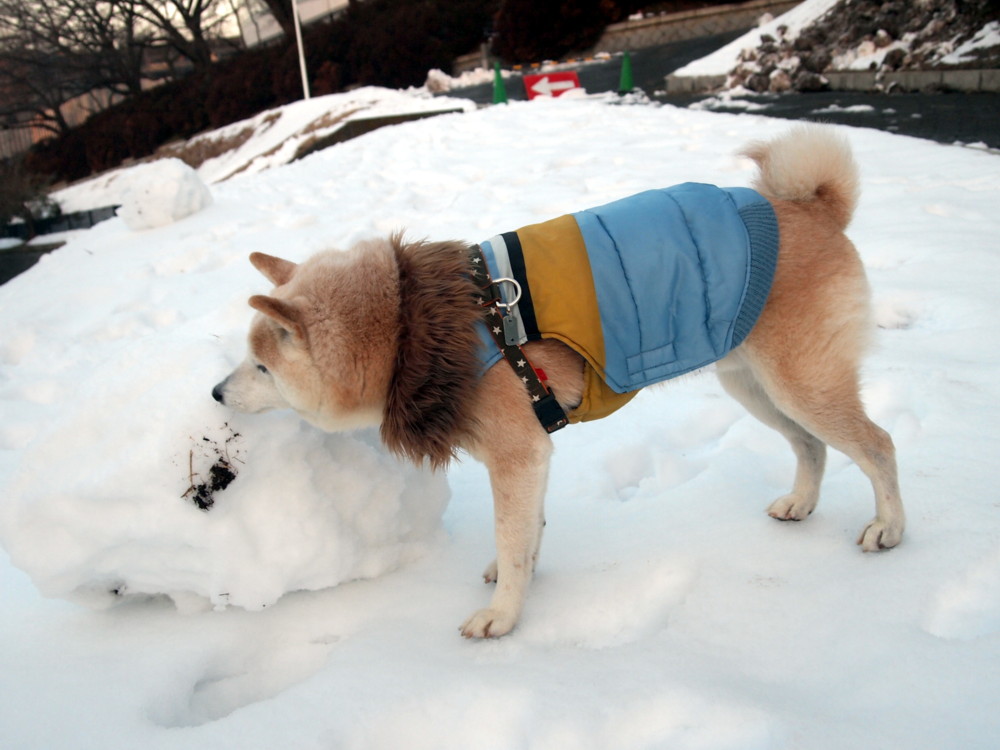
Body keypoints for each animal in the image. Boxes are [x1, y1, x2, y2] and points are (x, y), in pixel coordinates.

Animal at [215, 128, 904, 640]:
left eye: (262, 367)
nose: (217, 394)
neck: (412, 325)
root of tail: (811, 206)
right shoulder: (530, 454)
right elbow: (529, 534)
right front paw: (518, 577)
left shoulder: (516, 455)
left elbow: (513, 536)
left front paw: (504, 616)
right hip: (756, 387)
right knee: (810, 445)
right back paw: (802, 503)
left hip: (802, 384)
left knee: (878, 445)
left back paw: (890, 529)